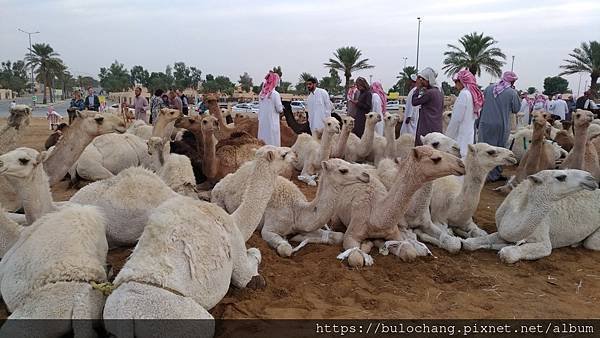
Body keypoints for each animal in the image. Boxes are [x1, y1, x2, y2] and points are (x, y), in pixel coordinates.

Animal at [332, 147, 464, 268]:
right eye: (436, 158)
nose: (462, 165)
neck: (376, 216)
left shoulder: (396, 234)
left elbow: (410, 252)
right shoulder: (351, 234)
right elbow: (356, 259)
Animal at [464, 170, 600, 262]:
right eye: (561, 177)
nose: (591, 179)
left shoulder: (543, 240)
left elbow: (508, 254)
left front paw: (504, 248)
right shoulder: (504, 232)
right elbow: (469, 243)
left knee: (591, 243)